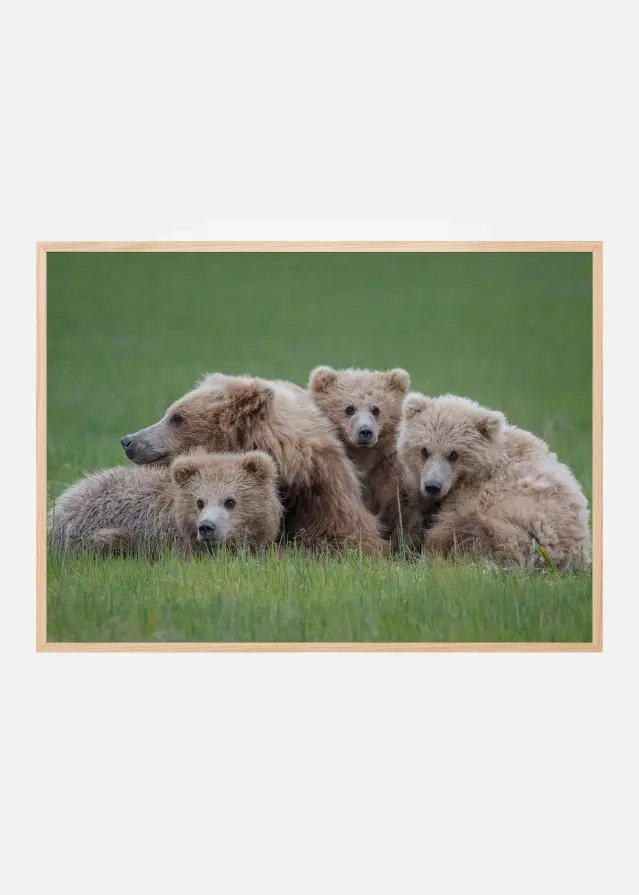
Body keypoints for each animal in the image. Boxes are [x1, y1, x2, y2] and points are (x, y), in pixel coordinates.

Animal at [308, 366, 422, 548]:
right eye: (349, 408)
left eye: (376, 409)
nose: (365, 432)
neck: (364, 457)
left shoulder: (387, 468)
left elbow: (401, 505)